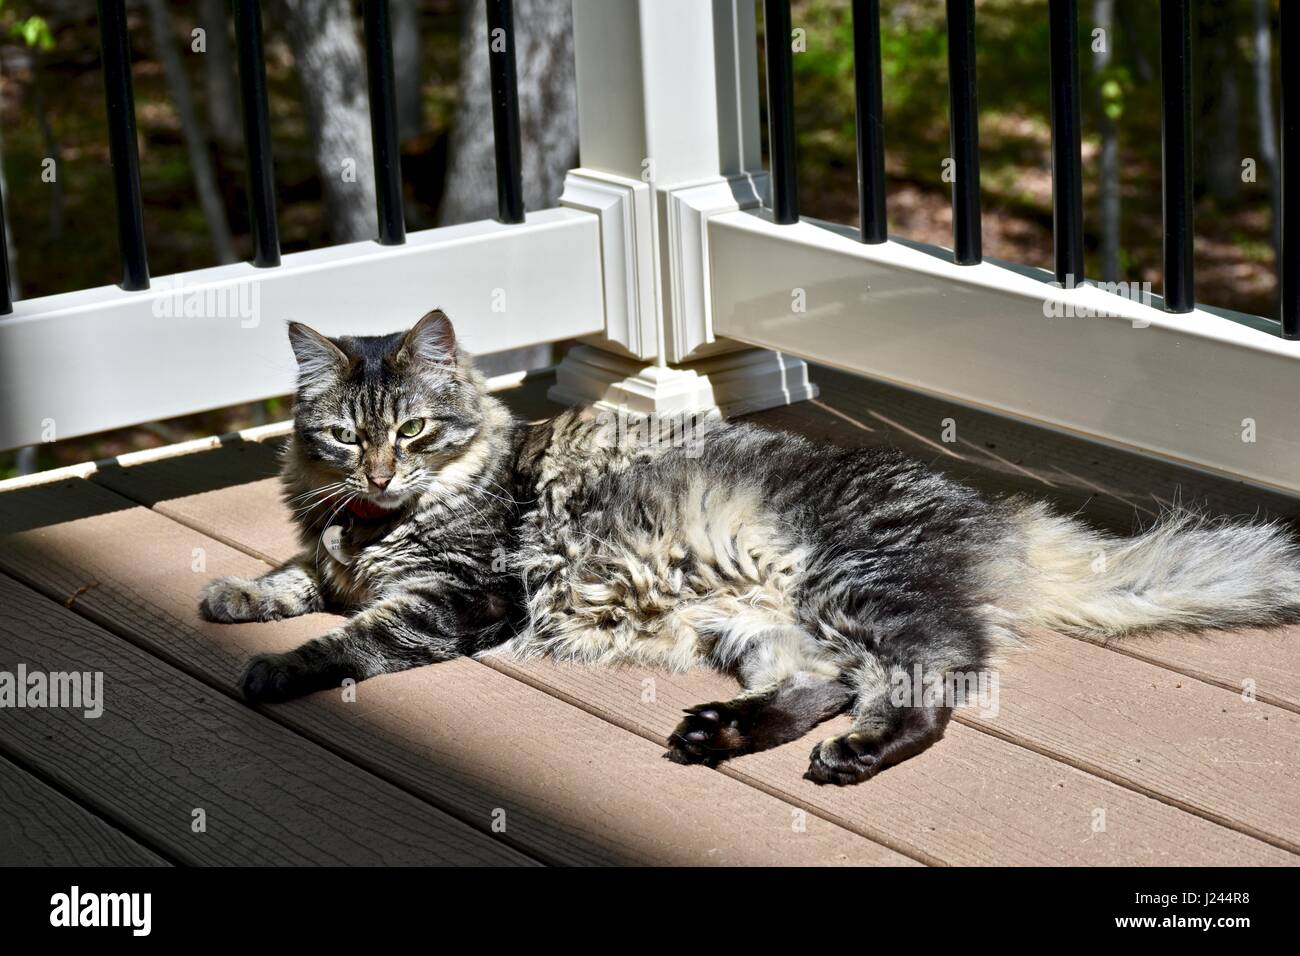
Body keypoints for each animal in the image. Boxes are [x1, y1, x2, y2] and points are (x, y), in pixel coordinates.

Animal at [197, 314, 1300, 785]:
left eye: (414, 431)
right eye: (345, 436)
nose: (382, 473)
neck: (372, 523)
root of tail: (995, 515)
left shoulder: (463, 595)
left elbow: (352, 635)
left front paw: (272, 666)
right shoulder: (333, 555)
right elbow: (292, 579)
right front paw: (233, 599)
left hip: (859, 591)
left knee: (933, 681)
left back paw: (852, 756)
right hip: (755, 626)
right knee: (819, 683)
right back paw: (714, 733)